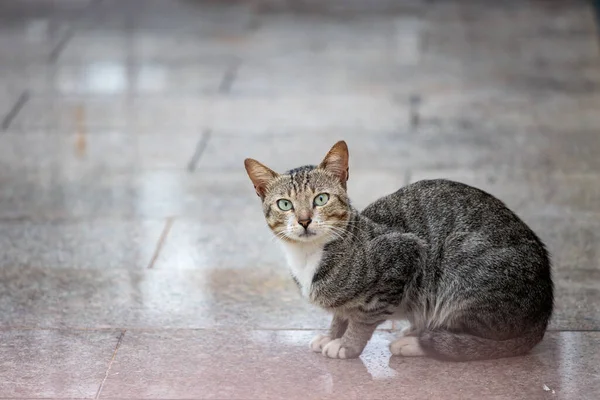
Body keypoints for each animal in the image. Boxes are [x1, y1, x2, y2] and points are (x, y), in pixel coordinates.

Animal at [243, 141, 552, 362]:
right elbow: (343, 312)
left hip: (461, 267)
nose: (304, 220)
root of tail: (543, 314)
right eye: (285, 204)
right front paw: (333, 333)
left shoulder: (405, 254)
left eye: (321, 199)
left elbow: (364, 317)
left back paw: (417, 341)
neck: (310, 256)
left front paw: (347, 344)